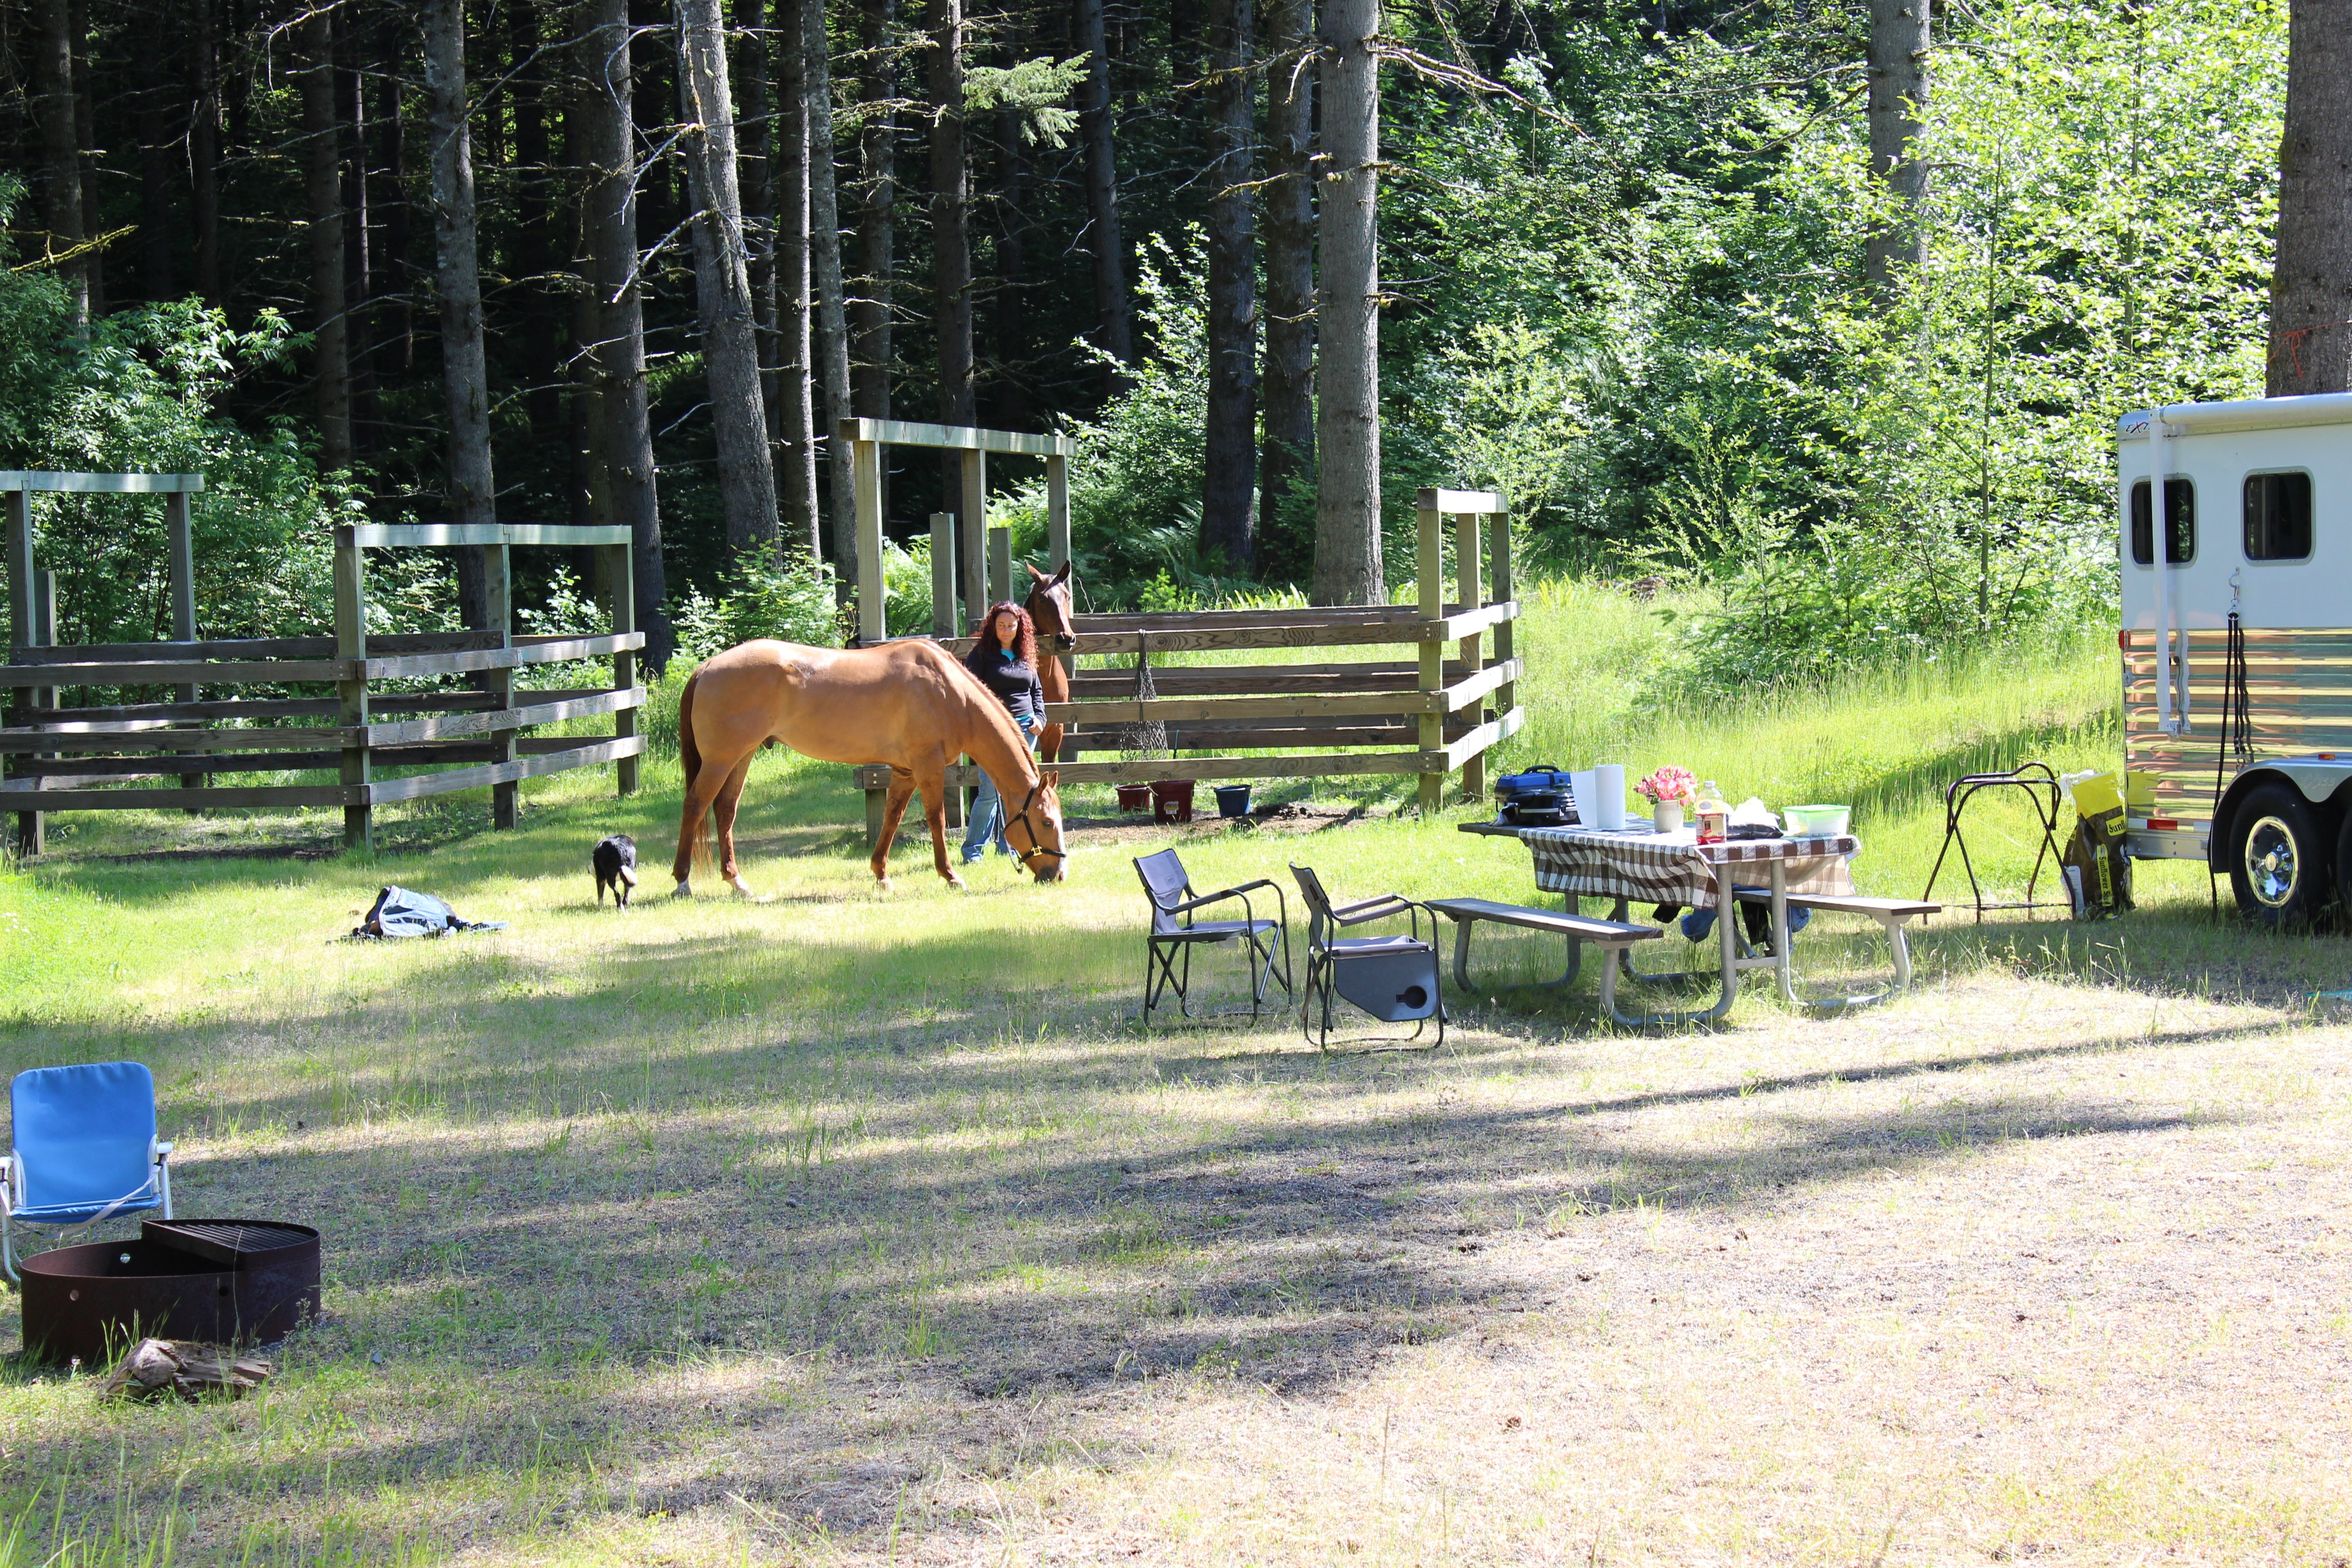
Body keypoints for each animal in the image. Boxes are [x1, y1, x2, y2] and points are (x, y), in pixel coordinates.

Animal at [671, 638, 1066, 895]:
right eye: (1047, 822)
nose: (1059, 874)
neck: (949, 692)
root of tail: (708, 667)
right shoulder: (928, 766)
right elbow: (937, 819)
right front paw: (951, 876)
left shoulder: (905, 772)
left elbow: (892, 818)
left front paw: (881, 875)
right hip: (721, 760)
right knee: (695, 806)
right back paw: (682, 881)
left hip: (742, 757)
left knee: (725, 810)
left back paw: (737, 882)